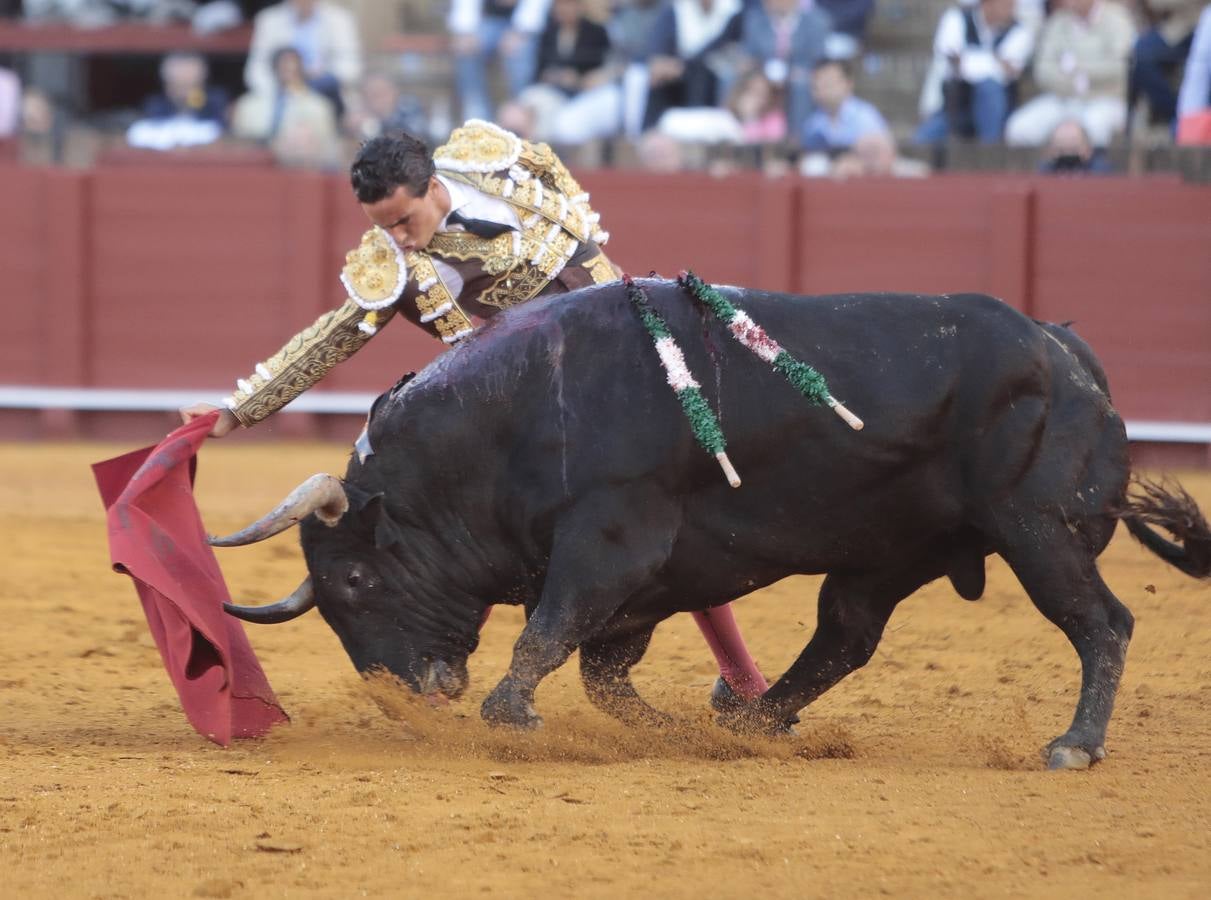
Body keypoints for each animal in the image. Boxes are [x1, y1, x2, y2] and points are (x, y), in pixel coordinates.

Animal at [213, 279, 1206, 765]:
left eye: (354, 578)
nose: (402, 692)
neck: (512, 418)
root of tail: (1064, 347)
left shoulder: (609, 543)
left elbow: (547, 635)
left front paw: (514, 717)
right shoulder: (650, 576)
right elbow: (602, 673)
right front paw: (672, 731)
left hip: (1037, 529)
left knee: (1101, 623)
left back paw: (1073, 746)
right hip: (889, 549)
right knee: (845, 635)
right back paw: (752, 725)